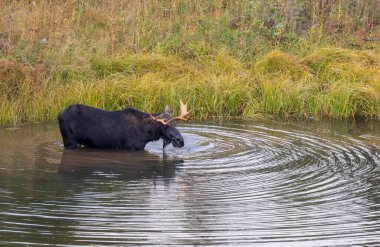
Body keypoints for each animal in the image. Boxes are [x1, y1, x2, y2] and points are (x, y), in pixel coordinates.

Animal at [57, 99, 191, 150]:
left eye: (175, 123)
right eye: (164, 125)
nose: (180, 141)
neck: (146, 135)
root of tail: (59, 115)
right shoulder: (132, 147)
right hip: (69, 142)